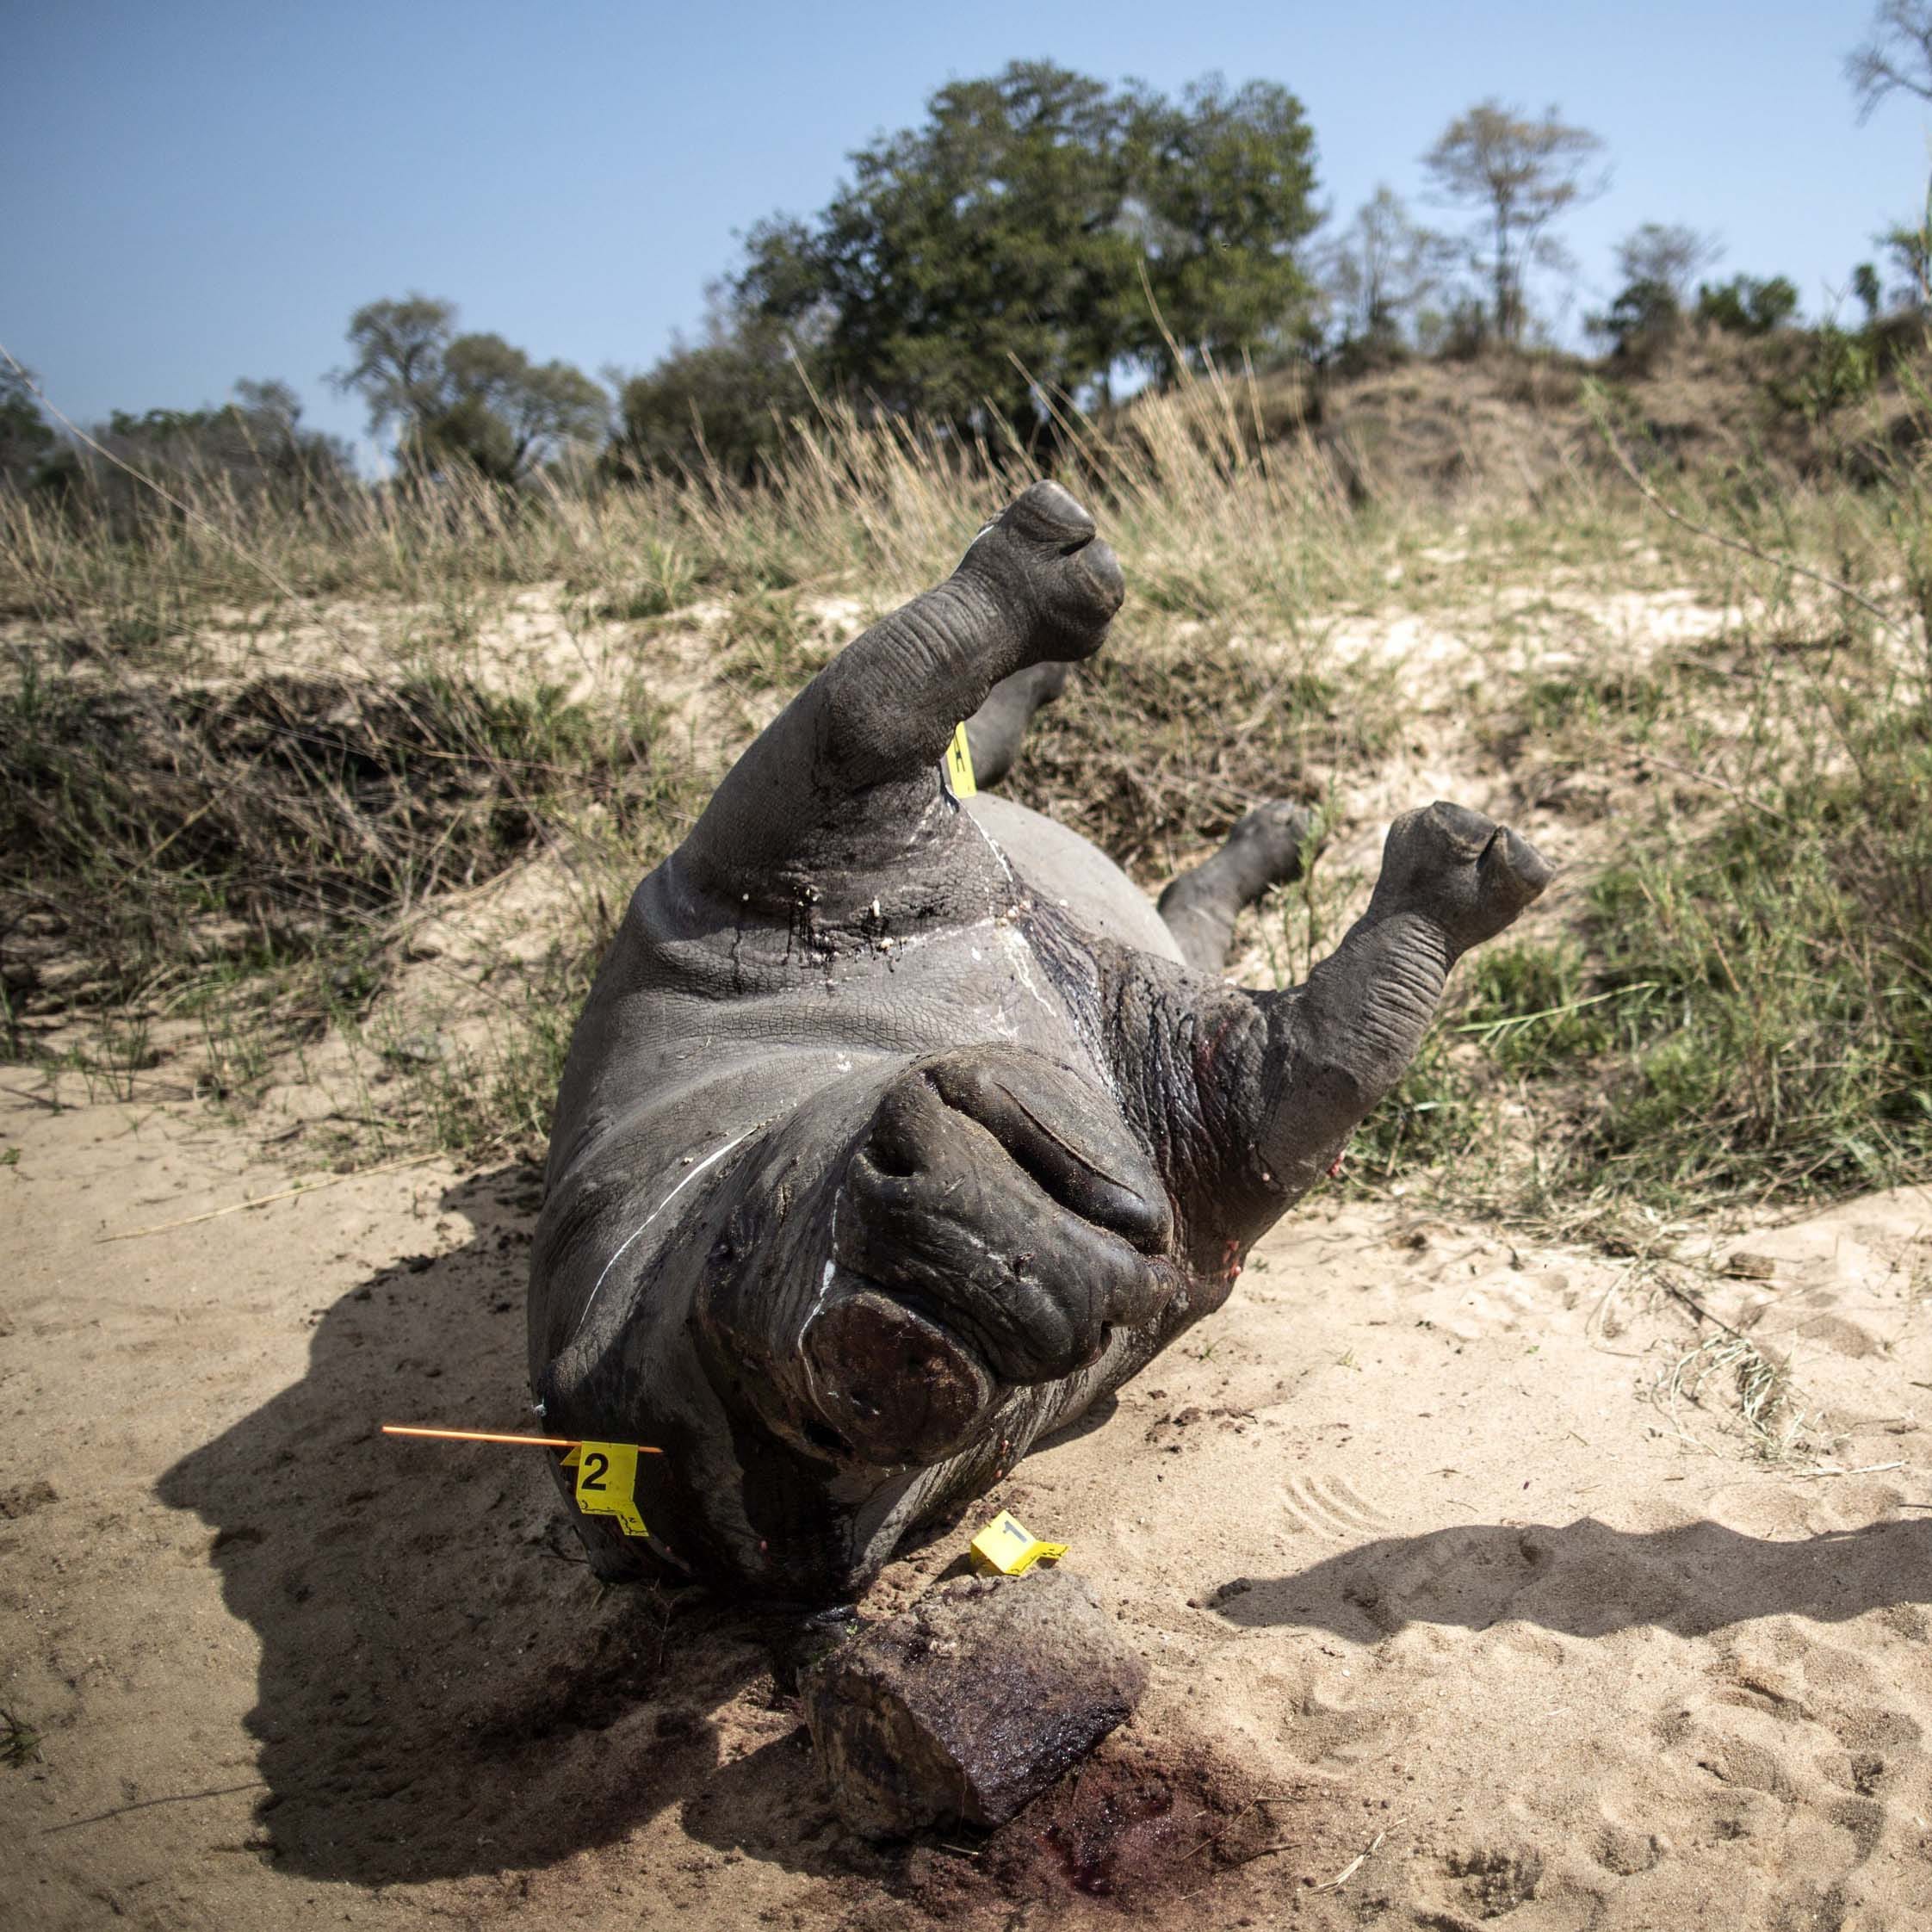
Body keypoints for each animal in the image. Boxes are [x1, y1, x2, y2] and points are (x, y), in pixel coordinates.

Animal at [528, 482, 1550, 1601]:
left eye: (739, 1246)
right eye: (830, 1428)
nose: (971, 1263)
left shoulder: (763, 878)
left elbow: (870, 701)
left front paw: (1045, 577)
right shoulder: (1215, 1128)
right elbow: (1336, 1048)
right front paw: (1454, 881)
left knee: (967, 745)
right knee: (1178, 914)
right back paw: (1284, 834)